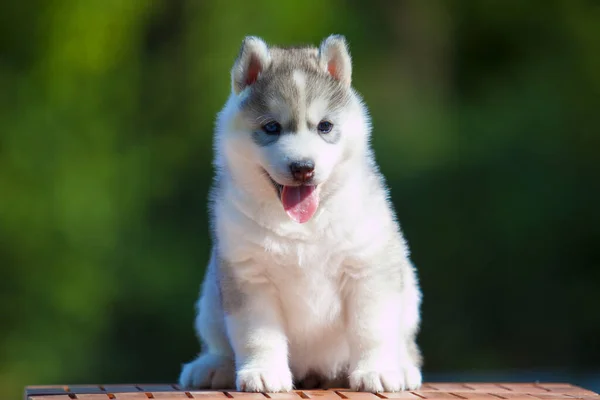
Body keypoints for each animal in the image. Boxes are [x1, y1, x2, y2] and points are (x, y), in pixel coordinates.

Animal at [178, 35, 422, 394]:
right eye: (271, 127)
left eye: (325, 126)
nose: (303, 168)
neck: (302, 226)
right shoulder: (249, 276)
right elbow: (257, 334)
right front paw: (263, 371)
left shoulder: (367, 267)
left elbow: (372, 328)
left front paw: (377, 369)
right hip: (210, 297)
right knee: (220, 343)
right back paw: (212, 366)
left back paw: (402, 366)